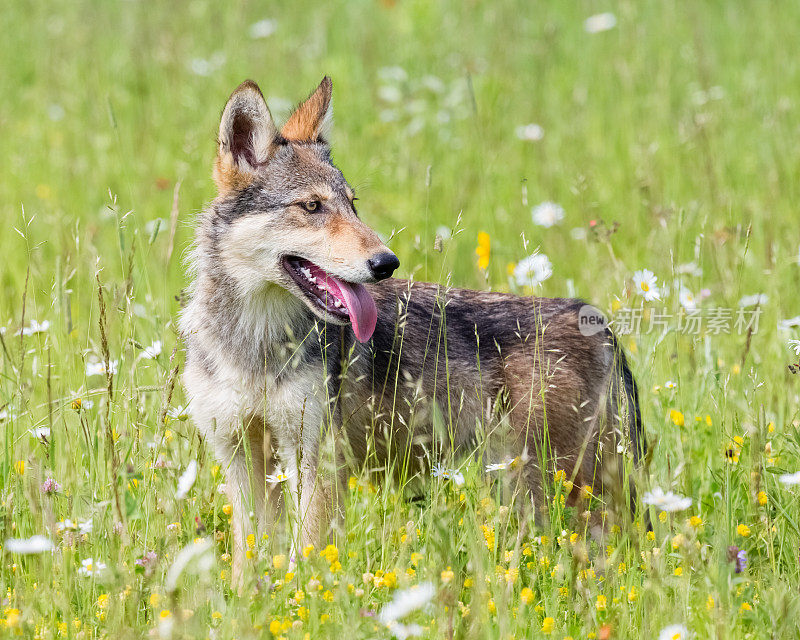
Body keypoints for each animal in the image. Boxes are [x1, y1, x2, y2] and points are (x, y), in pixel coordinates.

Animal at [181, 77, 644, 584]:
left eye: (352, 205)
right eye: (313, 206)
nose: (386, 262)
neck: (254, 344)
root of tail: (595, 319)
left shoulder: (315, 461)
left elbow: (307, 560)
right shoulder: (241, 459)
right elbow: (248, 565)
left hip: (564, 494)